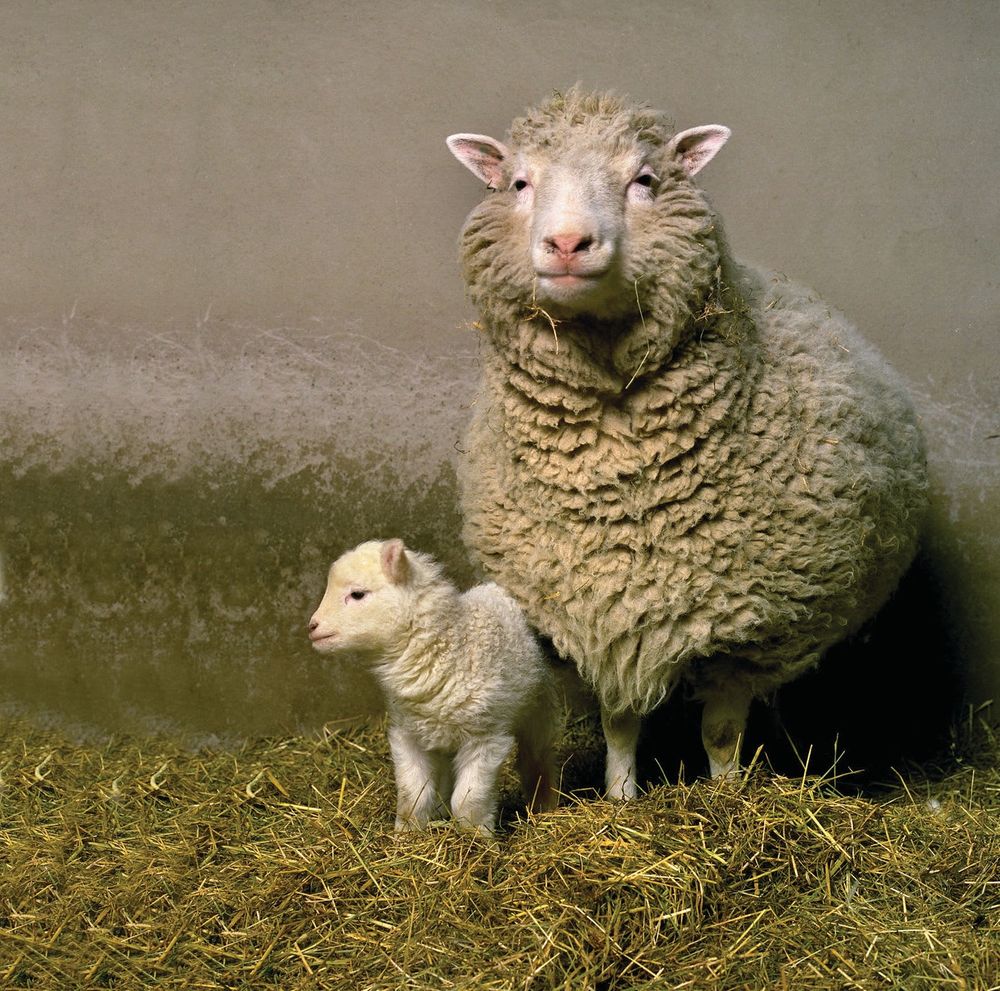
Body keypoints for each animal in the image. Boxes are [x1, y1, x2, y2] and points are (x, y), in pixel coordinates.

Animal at [308, 538, 561, 833]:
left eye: (357, 594)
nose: (312, 627)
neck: (449, 646)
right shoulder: (408, 735)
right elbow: (413, 793)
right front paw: (406, 834)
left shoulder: (486, 737)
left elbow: (468, 799)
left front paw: (475, 836)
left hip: (539, 708)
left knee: (537, 758)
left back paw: (545, 804)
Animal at [445, 87, 928, 797]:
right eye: (518, 183)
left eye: (645, 180)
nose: (567, 242)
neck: (620, 482)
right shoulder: (606, 612)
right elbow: (620, 724)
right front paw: (621, 799)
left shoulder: (747, 630)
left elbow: (721, 733)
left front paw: (728, 800)